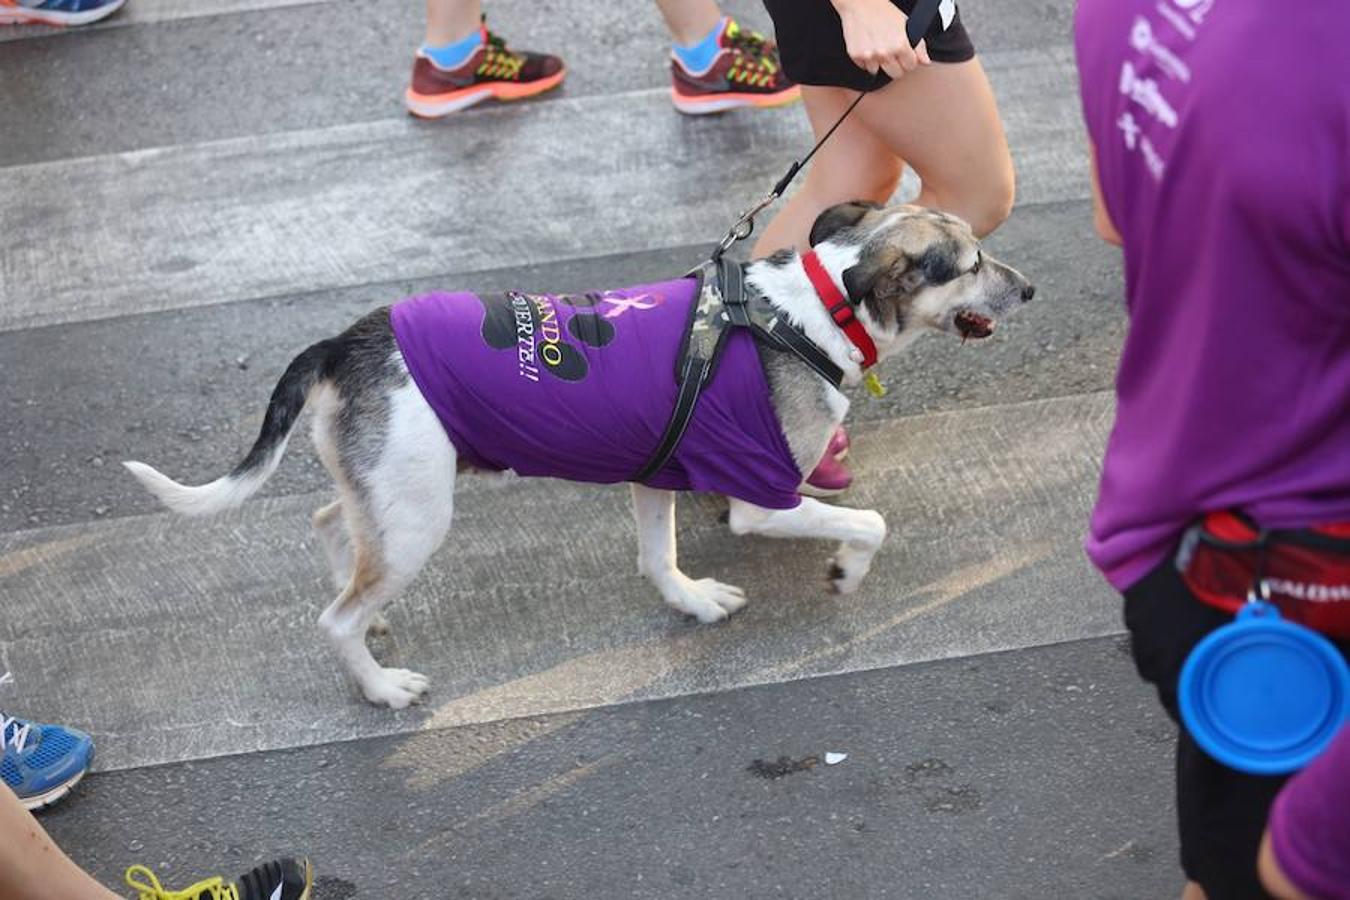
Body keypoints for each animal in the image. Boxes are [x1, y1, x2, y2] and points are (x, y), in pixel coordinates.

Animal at [124, 201, 1031, 707]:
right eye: (970, 263)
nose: (1029, 288)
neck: (807, 313)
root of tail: (347, 341)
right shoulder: (759, 495)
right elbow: (870, 522)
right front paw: (845, 570)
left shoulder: (658, 474)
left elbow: (660, 559)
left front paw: (692, 602)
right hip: (418, 514)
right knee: (331, 615)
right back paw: (380, 686)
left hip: (389, 489)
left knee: (326, 525)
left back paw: (373, 620)